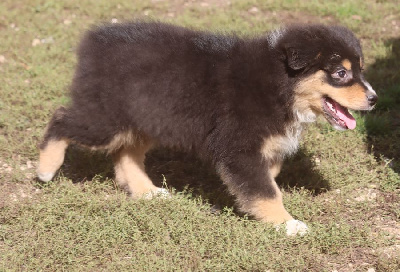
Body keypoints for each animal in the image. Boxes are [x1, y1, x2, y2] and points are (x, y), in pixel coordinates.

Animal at [36, 21, 376, 235]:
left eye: (360, 70)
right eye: (340, 73)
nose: (373, 99)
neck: (279, 84)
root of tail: (94, 41)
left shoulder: (261, 148)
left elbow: (266, 179)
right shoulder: (238, 147)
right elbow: (265, 189)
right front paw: (287, 224)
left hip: (146, 119)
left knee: (126, 153)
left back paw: (146, 191)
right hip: (107, 119)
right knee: (61, 119)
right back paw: (46, 169)